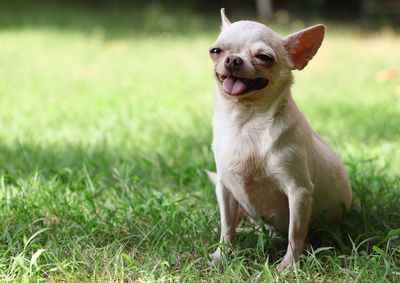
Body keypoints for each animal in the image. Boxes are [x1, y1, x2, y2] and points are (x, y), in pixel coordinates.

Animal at [208, 8, 352, 270]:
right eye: (216, 51)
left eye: (264, 57)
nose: (233, 59)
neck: (245, 121)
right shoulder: (224, 188)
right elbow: (227, 226)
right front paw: (222, 254)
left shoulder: (299, 192)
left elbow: (296, 233)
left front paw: (289, 266)